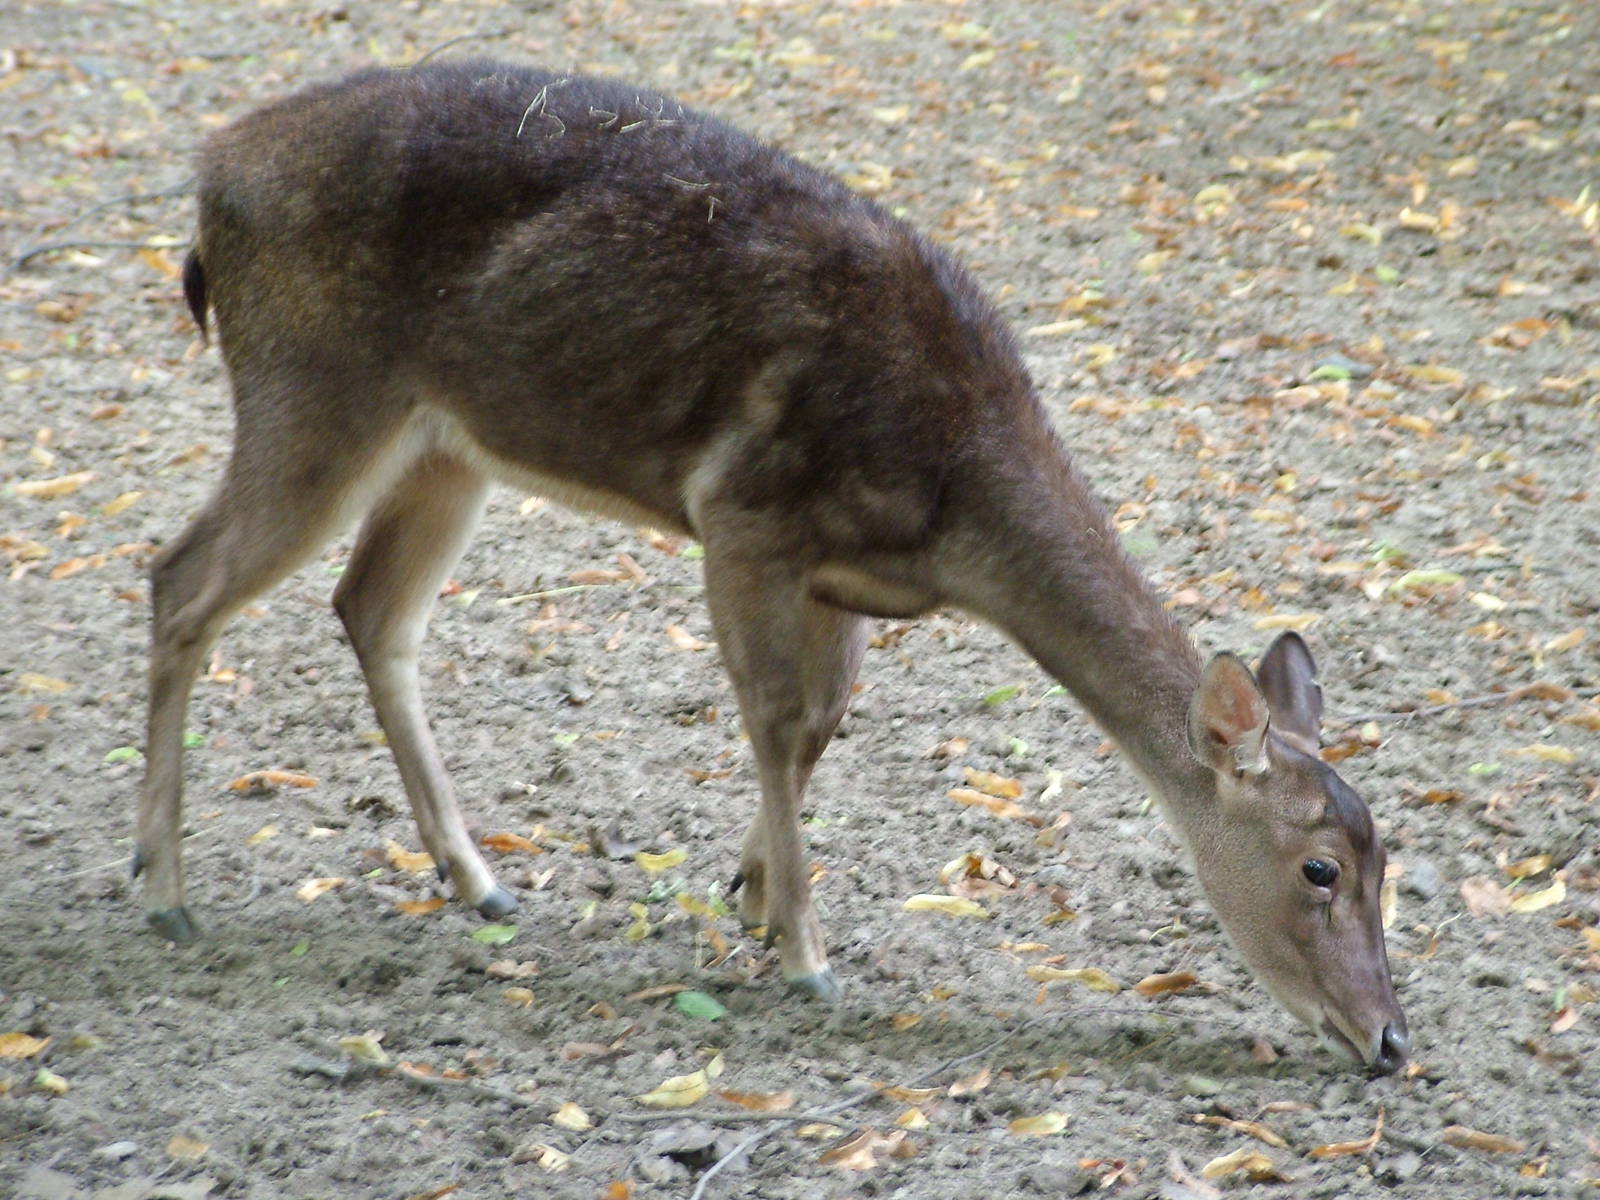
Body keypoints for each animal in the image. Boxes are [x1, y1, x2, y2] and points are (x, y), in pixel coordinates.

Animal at [137, 60, 1409, 1073]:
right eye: (1319, 871)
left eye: (1387, 854)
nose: (1391, 1041)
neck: (952, 507)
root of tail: (208, 180)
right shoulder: (743, 510)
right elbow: (771, 714)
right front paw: (803, 951)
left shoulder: (836, 574)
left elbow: (820, 722)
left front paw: (748, 896)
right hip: (311, 385)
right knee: (182, 575)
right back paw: (163, 892)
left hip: (447, 443)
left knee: (371, 608)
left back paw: (477, 874)